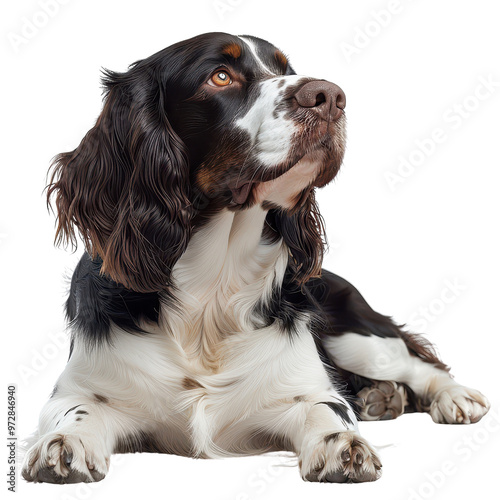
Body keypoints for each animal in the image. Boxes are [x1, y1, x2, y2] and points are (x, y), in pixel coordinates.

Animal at [22, 32, 488, 484]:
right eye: (220, 76)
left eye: (287, 69)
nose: (330, 96)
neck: (211, 293)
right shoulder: (76, 389)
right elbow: (77, 410)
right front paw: (65, 443)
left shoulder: (305, 389)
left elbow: (327, 408)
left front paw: (341, 445)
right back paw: (382, 395)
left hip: (360, 338)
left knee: (419, 363)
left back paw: (453, 397)